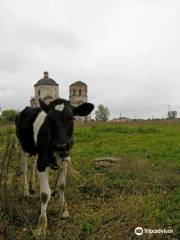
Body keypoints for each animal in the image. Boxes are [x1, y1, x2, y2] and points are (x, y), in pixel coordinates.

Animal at [15, 98, 94, 235]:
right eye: (49, 120)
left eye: (71, 119)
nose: (61, 145)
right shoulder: (42, 163)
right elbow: (45, 194)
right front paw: (41, 225)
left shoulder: (65, 161)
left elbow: (61, 186)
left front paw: (64, 210)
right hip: (22, 146)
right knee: (25, 168)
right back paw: (26, 190)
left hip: (36, 152)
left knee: (32, 164)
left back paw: (32, 186)